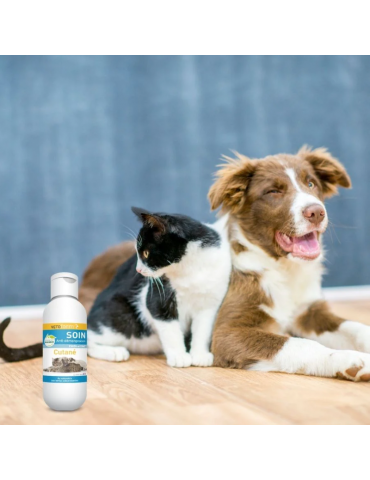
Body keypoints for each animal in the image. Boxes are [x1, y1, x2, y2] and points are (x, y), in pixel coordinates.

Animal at [87, 206, 231, 368]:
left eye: (146, 253)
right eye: (138, 253)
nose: (138, 270)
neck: (188, 269)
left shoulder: (210, 303)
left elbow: (203, 329)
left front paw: (200, 354)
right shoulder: (157, 297)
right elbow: (170, 329)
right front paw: (179, 356)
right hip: (119, 314)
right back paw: (114, 352)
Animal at [210, 144, 370, 380]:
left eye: (311, 184)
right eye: (273, 192)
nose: (316, 212)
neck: (284, 270)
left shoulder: (309, 313)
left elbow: (355, 327)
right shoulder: (227, 332)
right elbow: (301, 345)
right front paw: (349, 359)